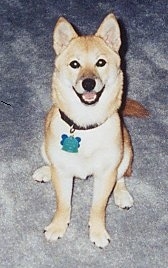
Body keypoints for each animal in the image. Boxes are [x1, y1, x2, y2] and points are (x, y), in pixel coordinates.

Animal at [32, 13, 148, 248]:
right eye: (74, 64)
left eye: (100, 63)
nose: (88, 83)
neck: (84, 126)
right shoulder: (63, 173)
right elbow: (63, 204)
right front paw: (58, 226)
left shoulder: (106, 173)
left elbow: (98, 207)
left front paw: (98, 231)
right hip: (44, 147)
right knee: (50, 162)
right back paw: (45, 171)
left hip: (126, 153)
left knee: (121, 177)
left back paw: (122, 195)